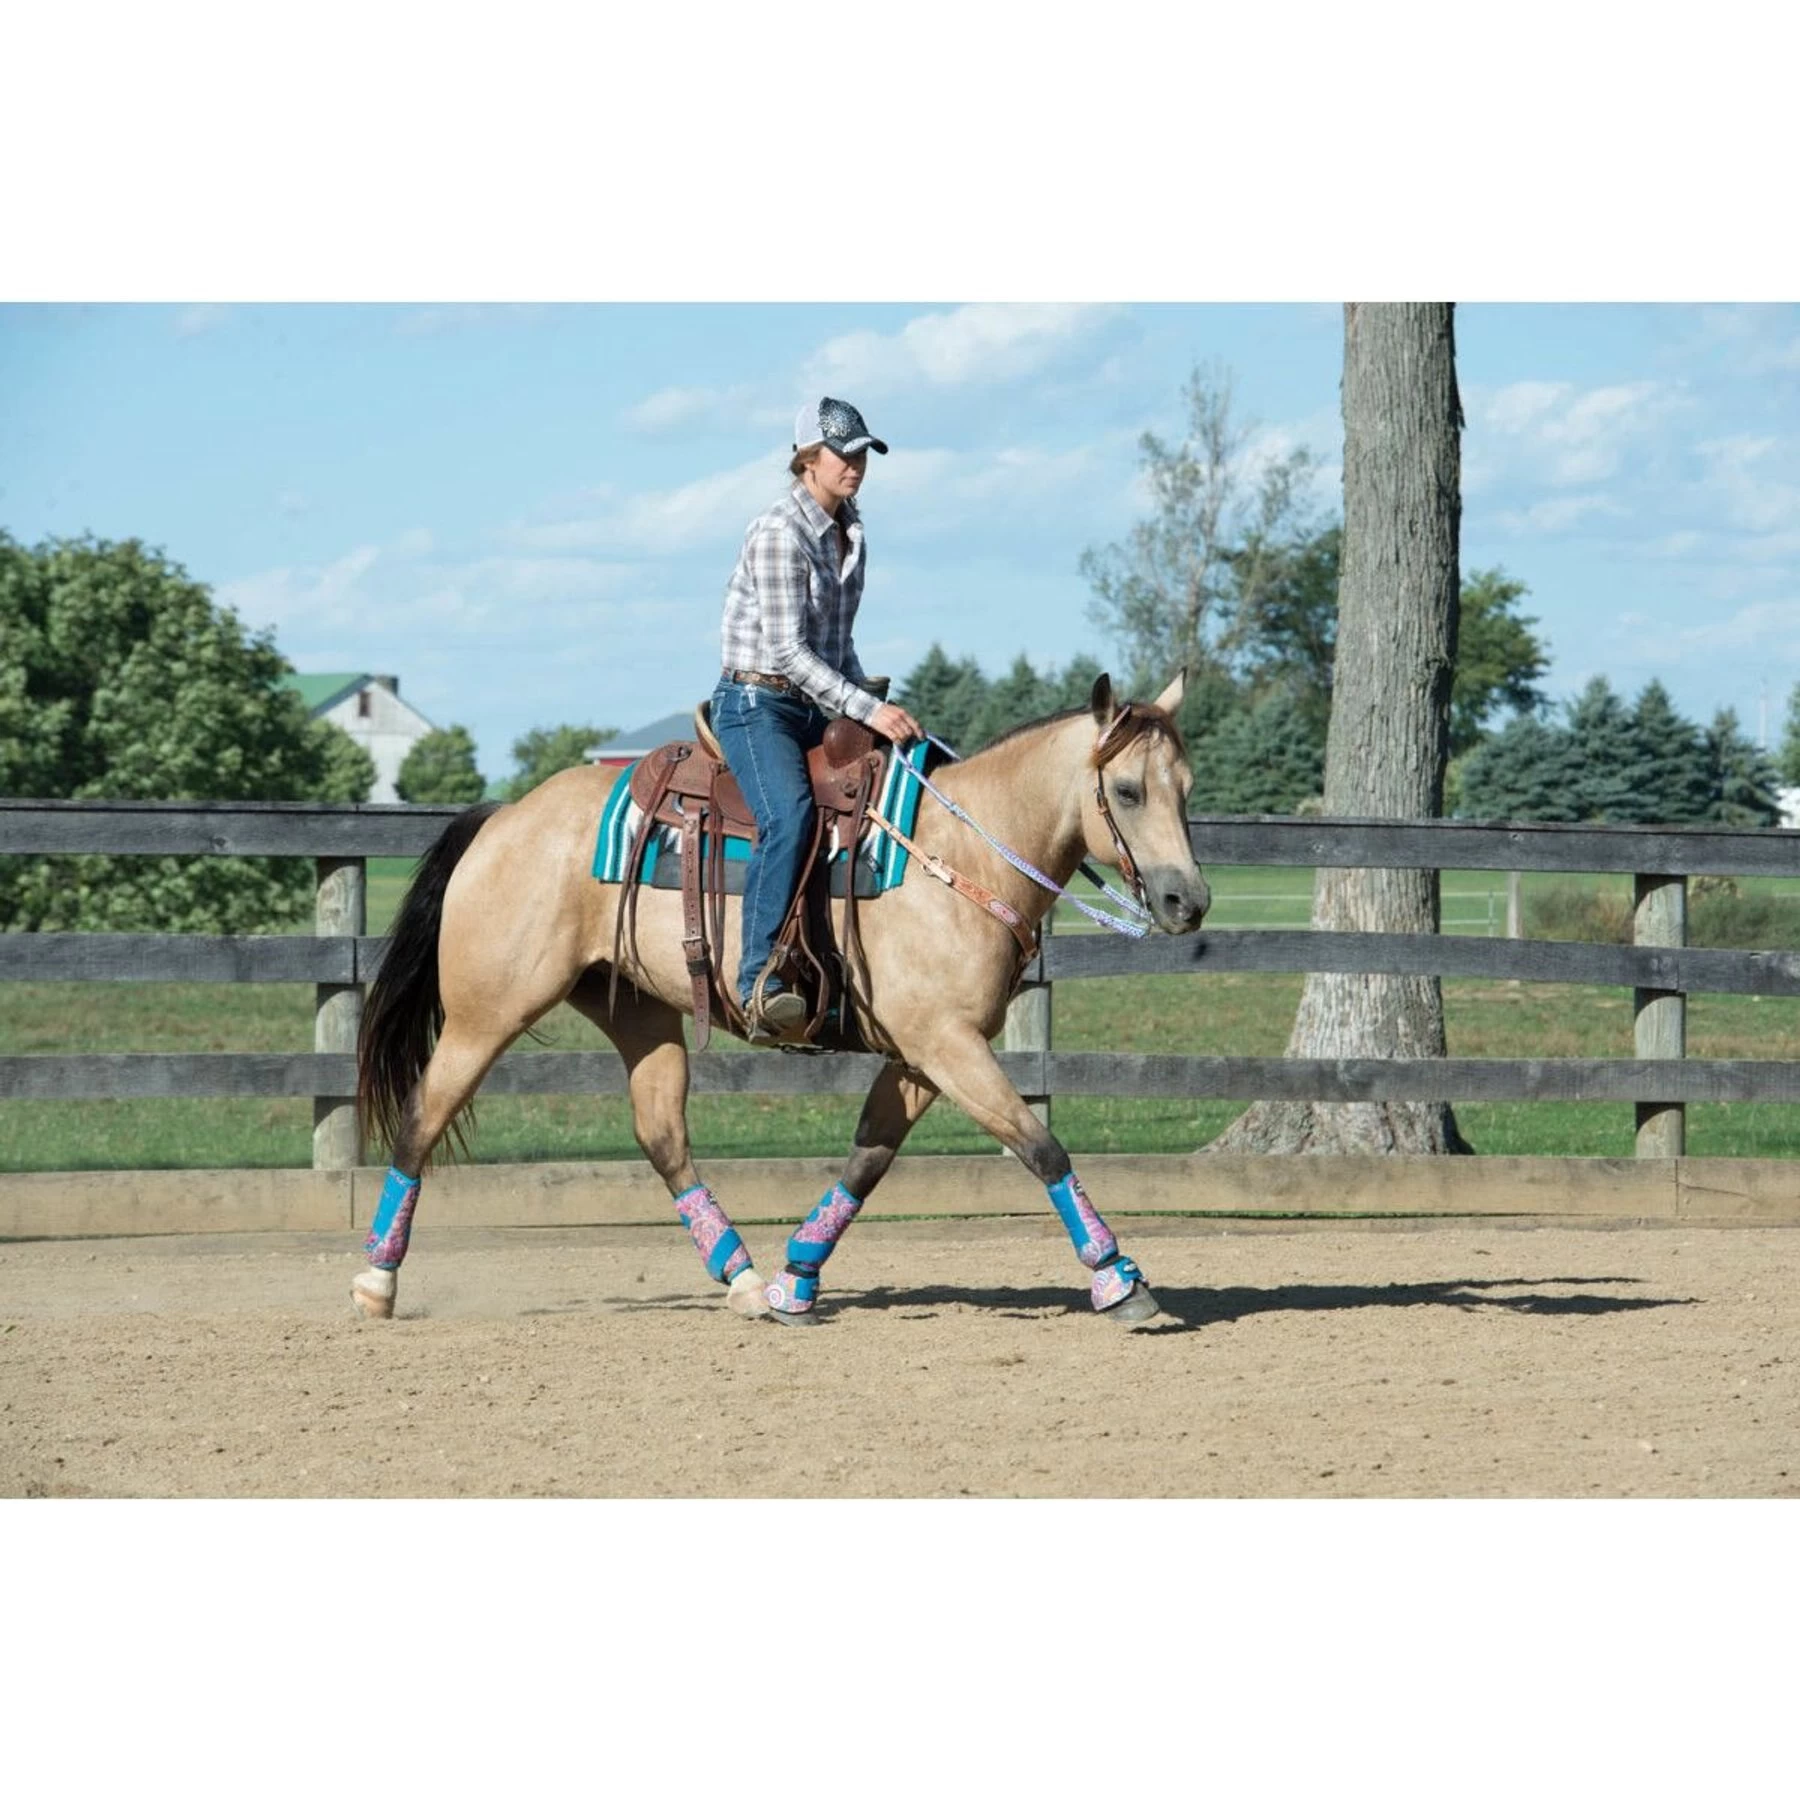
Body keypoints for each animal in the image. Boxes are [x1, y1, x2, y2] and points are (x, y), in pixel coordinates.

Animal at [351, 671, 1209, 1327]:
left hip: (639, 1011)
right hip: (487, 1013)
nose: (1188, 901)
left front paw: (798, 1279)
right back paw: (376, 1281)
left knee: (662, 1136)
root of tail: (505, 817)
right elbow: (1041, 1146)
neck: (959, 852)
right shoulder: (946, 1044)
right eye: (1126, 790)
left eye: (1187, 789)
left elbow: (868, 1158)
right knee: (423, 1116)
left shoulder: (922, 1055)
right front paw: (1120, 1281)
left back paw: (744, 1280)